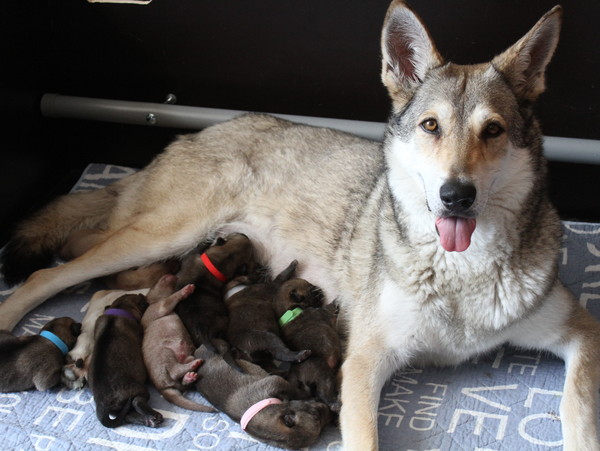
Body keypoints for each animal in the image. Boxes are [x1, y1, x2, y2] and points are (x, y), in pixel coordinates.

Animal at [87, 294, 159, 428]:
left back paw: (150, 420)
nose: (144, 297)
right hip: (138, 389)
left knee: (127, 416)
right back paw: (153, 415)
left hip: (117, 410)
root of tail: (102, 402)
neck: (119, 307)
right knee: (136, 402)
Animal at [140, 274, 214, 414]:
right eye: (154, 283)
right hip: (165, 353)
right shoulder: (159, 306)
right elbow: (171, 298)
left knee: (182, 382)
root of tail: (162, 388)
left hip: (184, 358)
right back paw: (193, 365)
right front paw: (186, 289)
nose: (170, 274)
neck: (154, 301)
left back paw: (189, 377)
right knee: (174, 370)